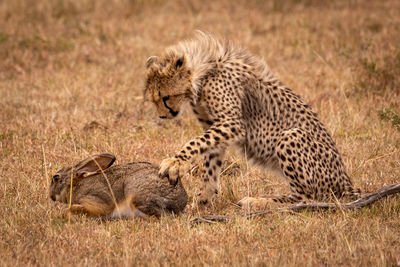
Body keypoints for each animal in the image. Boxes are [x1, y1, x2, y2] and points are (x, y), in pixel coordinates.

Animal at [143, 32, 360, 208]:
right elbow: (210, 163)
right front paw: (202, 200)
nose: (162, 116)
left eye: (165, 97)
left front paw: (175, 162)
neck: (203, 73)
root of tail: (346, 181)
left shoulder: (232, 123)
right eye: (154, 100)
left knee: (305, 198)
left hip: (291, 136)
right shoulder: (215, 126)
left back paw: (258, 201)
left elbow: (196, 142)